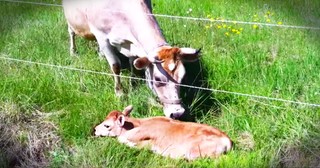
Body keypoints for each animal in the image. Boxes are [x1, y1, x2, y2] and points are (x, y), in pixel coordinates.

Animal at [62, 0, 200, 119]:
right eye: (157, 79)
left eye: (182, 78)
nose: (178, 113)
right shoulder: (102, 36)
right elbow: (115, 66)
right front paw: (120, 93)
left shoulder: (132, 44)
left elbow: (133, 63)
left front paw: (132, 83)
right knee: (71, 32)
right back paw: (73, 52)